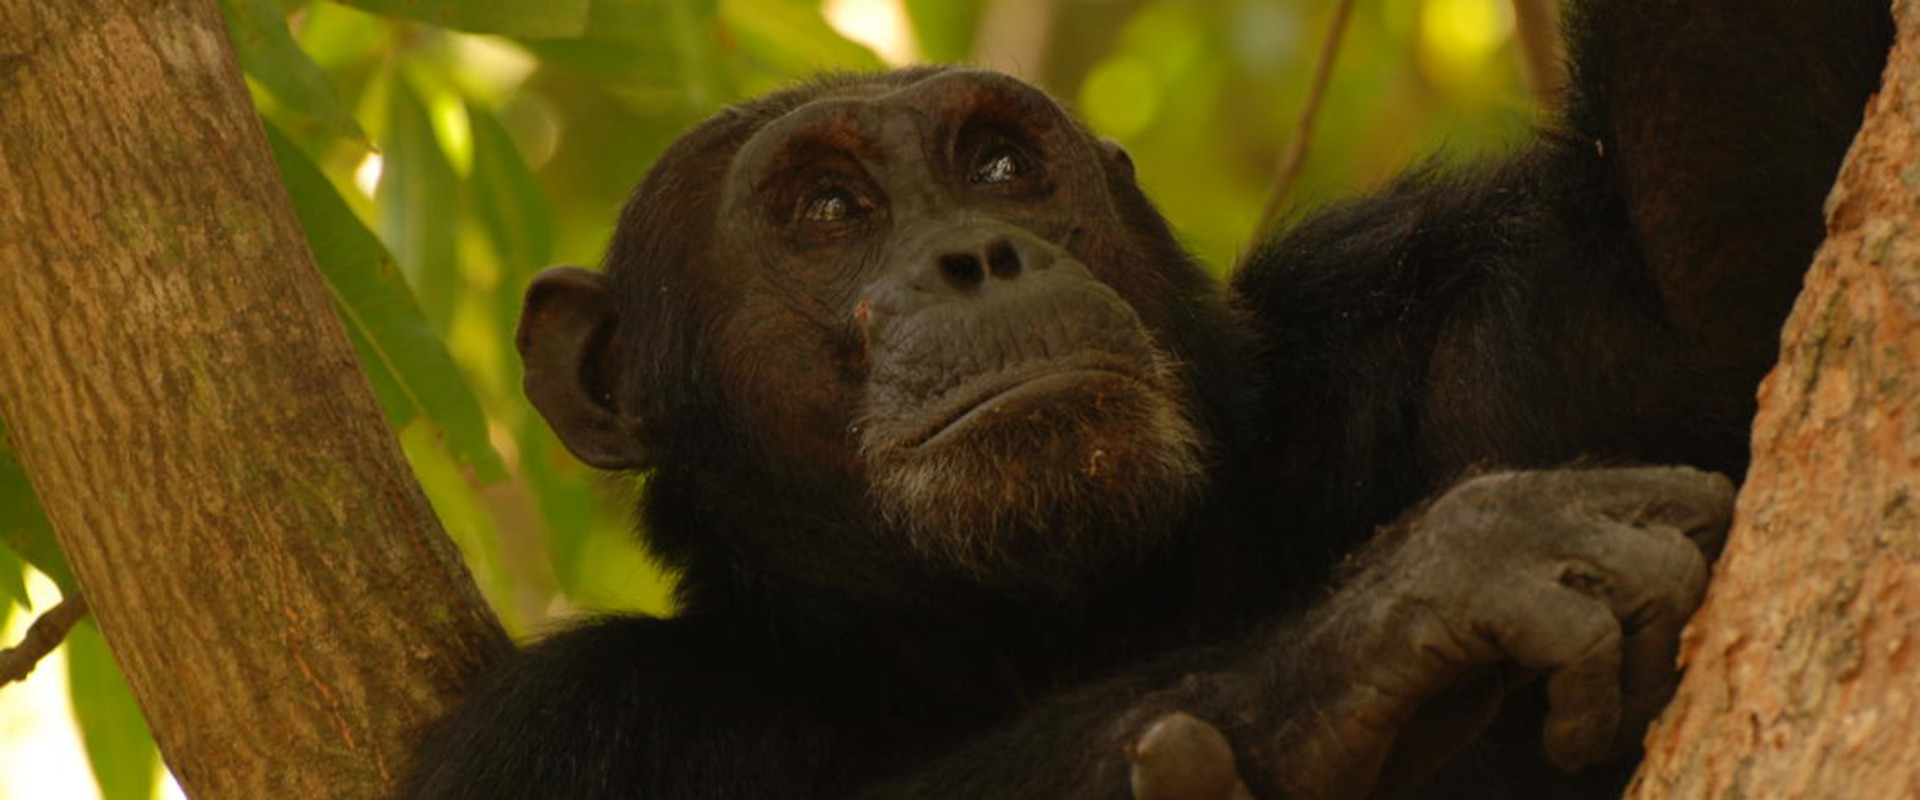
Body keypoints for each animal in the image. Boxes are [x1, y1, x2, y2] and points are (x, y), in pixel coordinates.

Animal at [401, 0, 1889, 794]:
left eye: (1001, 166)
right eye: (827, 208)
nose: (980, 254)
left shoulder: (1452, 325)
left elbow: (1724, 273)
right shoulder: (566, 728)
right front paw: (1400, 615)